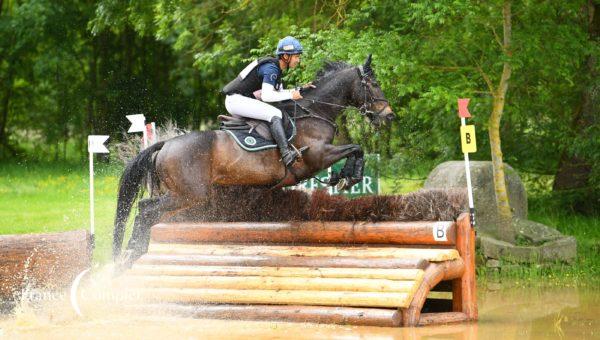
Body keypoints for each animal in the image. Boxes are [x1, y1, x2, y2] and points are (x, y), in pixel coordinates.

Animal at [113, 55, 394, 262]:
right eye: (373, 84)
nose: (389, 115)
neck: (315, 111)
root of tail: (166, 144)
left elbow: (357, 149)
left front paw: (343, 176)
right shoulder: (318, 156)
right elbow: (356, 148)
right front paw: (349, 177)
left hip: (179, 195)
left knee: (147, 211)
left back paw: (131, 256)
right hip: (189, 195)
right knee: (146, 211)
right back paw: (130, 256)